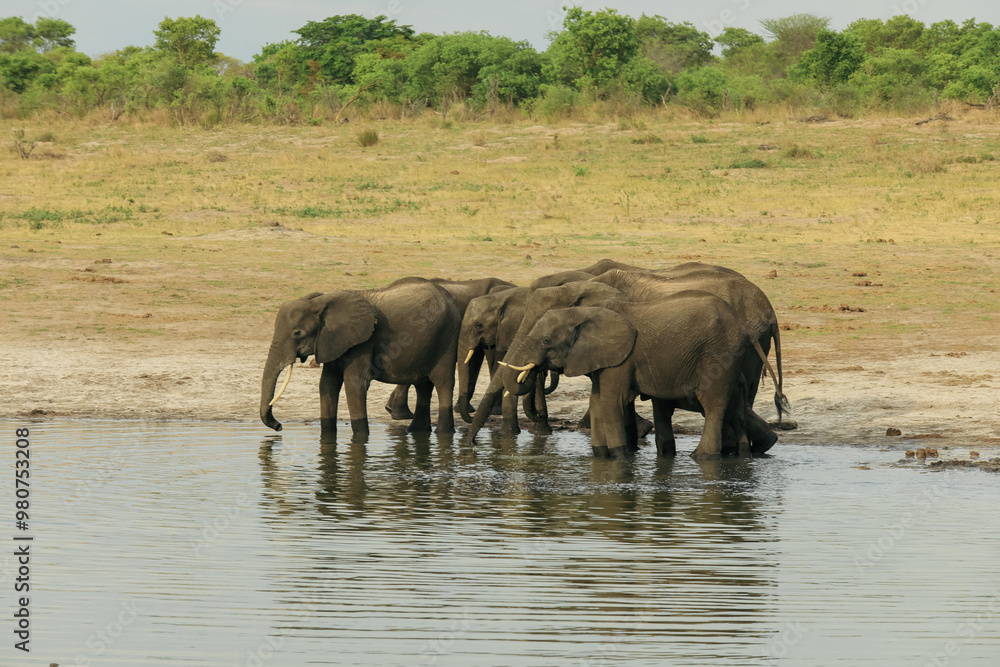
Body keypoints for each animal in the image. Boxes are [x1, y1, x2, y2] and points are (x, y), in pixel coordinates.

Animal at [260, 278, 461, 441]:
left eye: (297, 333)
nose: (279, 426)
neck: (320, 302)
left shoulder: (363, 342)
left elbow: (354, 383)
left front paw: (361, 438)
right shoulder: (331, 341)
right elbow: (327, 383)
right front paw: (327, 438)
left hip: (447, 338)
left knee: (443, 383)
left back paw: (443, 433)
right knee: (423, 386)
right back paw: (417, 431)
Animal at [495, 296, 782, 460]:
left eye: (546, 340)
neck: (583, 312)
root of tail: (743, 326)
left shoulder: (622, 358)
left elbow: (612, 401)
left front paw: (620, 457)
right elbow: (597, 401)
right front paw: (602, 457)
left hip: (719, 355)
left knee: (713, 405)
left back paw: (701, 457)